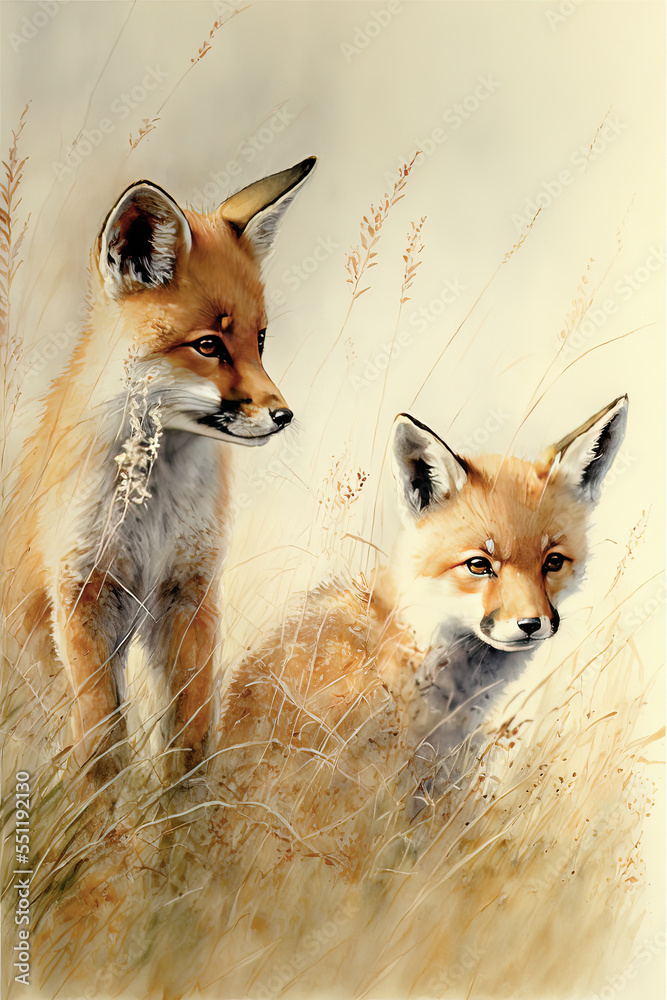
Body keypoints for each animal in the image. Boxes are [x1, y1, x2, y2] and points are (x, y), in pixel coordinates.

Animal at [2, 155, 316, 782]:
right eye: (209, 346)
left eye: (260, 339)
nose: (283, 415)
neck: (154, 510)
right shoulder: (83, 595)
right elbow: (102, 743)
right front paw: (99, 810)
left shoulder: (189, 595)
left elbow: (189, 741)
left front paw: (184, 810)